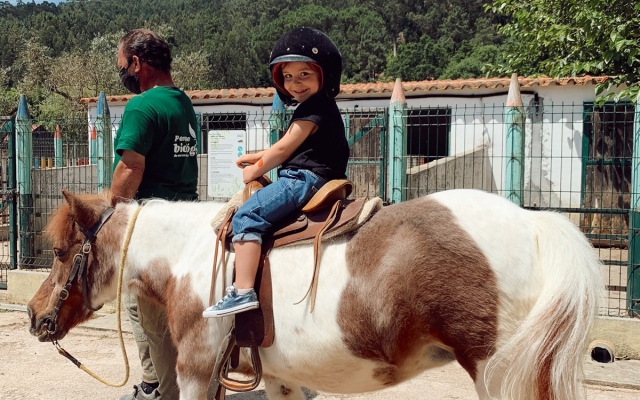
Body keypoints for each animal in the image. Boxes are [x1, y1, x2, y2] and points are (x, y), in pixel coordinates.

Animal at [27, 188, 604, 400]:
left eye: (58, 251)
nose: (35, 316)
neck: (187, 254)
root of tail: (534, 223)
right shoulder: (280, 377)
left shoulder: (196, 370)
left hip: (500, 374)